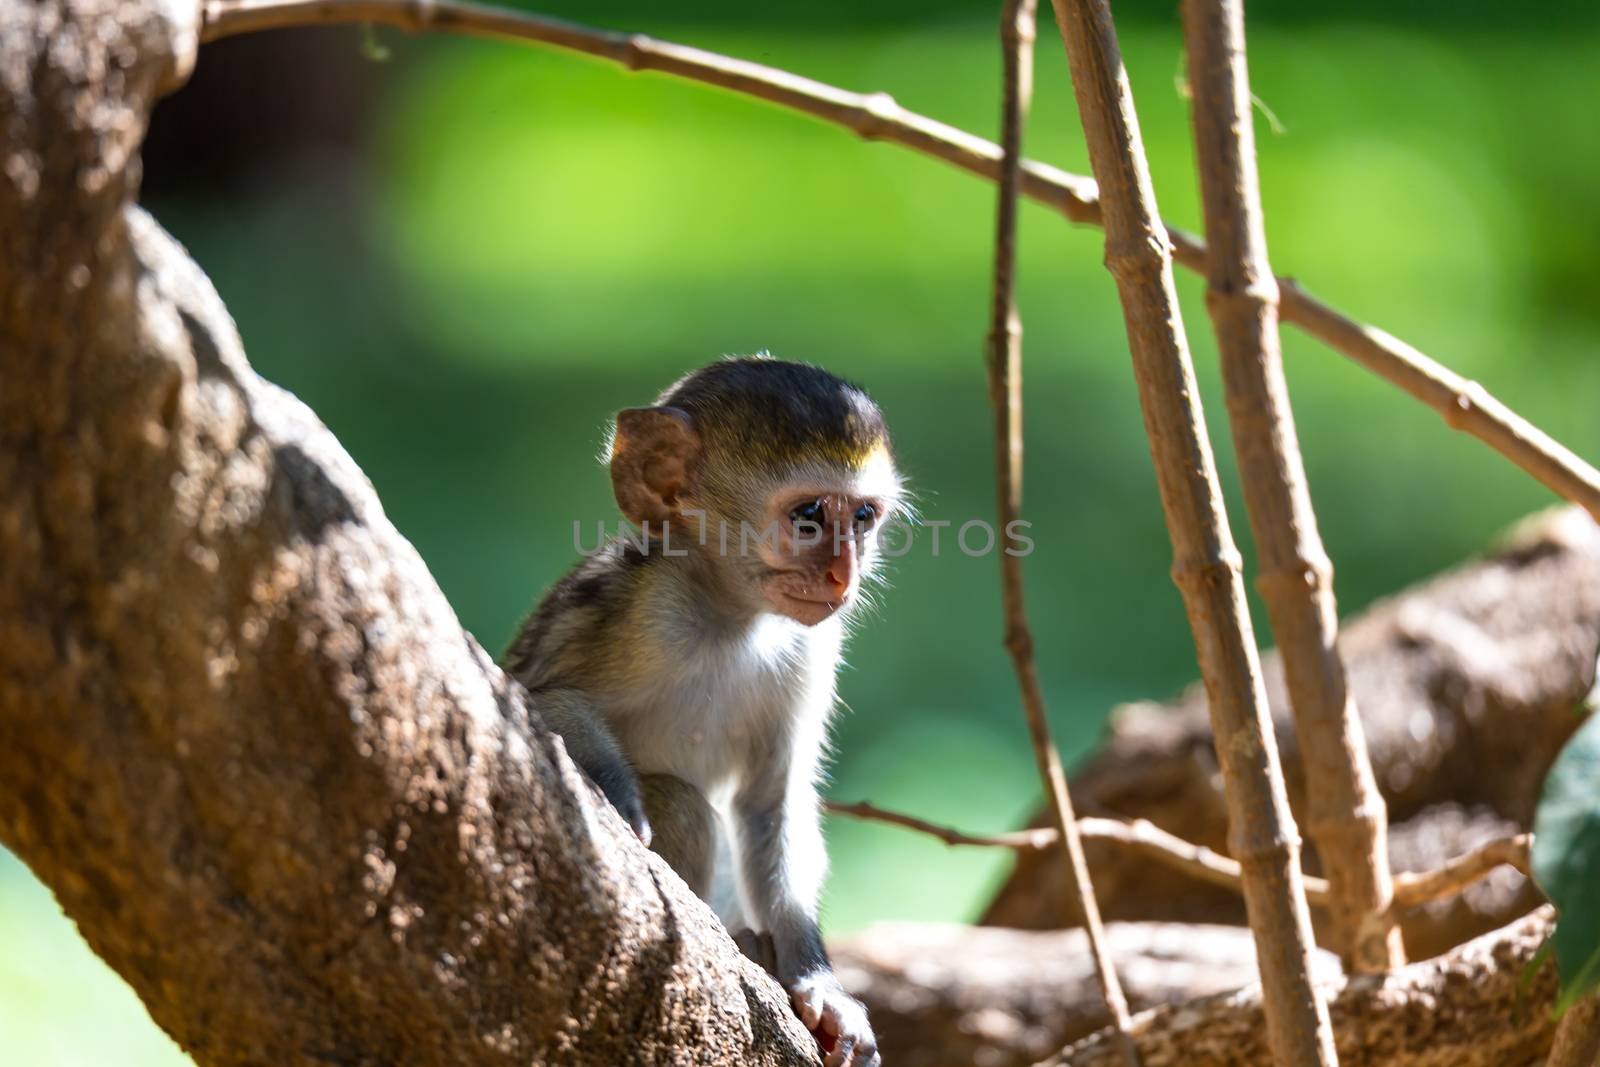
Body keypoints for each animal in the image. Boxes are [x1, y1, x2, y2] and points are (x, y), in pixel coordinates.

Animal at [508, 358, 902, 1067]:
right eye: (809, 515)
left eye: (862, 516)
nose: (843, 574)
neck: (728, 616)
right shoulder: (641, 610)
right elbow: (535, 695)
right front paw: (617, 794)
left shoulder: (811, 646)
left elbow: (771, 802)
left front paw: (819, 983)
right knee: (682, 804)